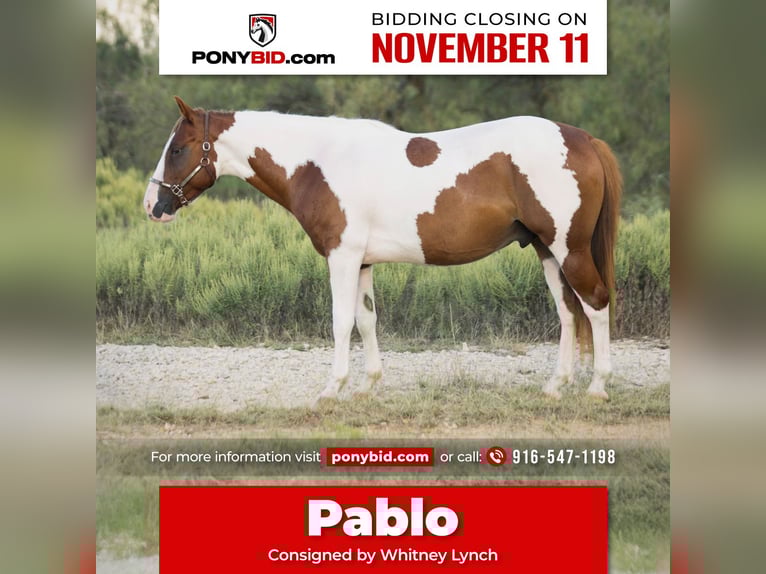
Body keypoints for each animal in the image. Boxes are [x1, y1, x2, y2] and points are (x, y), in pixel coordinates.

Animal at [144, 97, 622, 402]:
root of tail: (582, 138)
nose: (153, 206)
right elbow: (366, 320)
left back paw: (597, 388)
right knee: (567, 312)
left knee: (595, 304)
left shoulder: (341, 256)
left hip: (570, 249)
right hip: (547, 251)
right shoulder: (362, 262)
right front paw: (367, 385)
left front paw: (332, 389)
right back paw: (556, 386)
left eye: (179, 148)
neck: (317, 163)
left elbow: (340, 323)